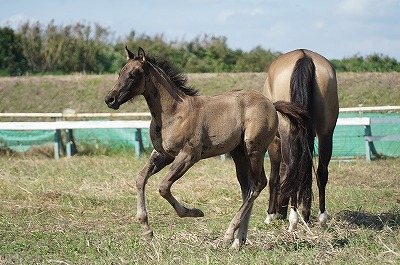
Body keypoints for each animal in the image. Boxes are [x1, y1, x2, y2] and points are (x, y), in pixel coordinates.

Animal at [104, 46, 310, 246]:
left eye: (134, 74)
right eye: (120, 72)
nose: (110, 99)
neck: (173, 113)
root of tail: (271, 104)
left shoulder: (189, 155)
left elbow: (163, 186)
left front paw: (194, 212)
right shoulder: (163, 154)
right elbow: (140, 178)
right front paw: (147, 230)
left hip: (254, 149)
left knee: (258, 184)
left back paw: (229, 234)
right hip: (238, 153)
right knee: (247, 188)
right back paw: (238, 241)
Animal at [264, 48, 340, 230]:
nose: (280, 212)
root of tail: (304, 56)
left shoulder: (275, 143)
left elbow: (274, 178)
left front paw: (270, 214)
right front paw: (305, 212)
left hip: (288, 132)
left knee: (293, 169)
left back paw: (293, 220)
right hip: (326, 133)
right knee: (321, 172)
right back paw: (321, 218)